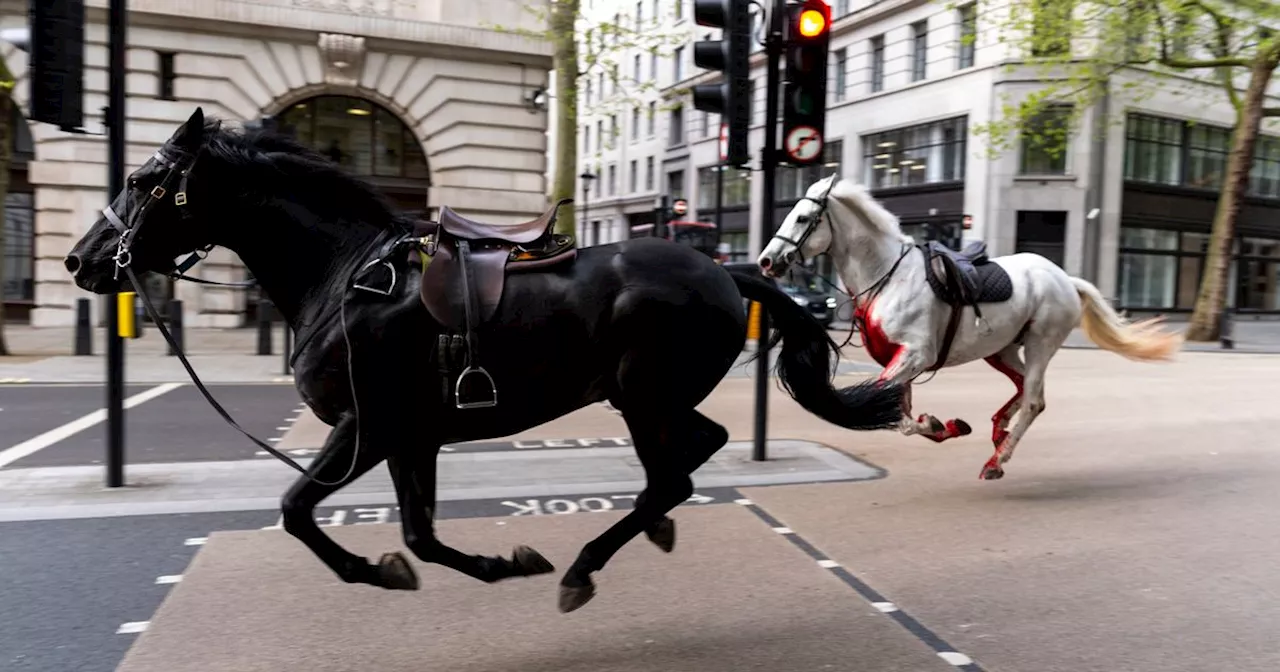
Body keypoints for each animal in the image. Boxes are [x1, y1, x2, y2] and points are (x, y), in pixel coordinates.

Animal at [64, 108, 906, 611]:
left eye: (142, 180)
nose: (81, 260)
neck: (344, 276)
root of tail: (726, 272)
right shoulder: (411, 438)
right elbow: (419, 536)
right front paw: (493, 563)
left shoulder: (366, 428)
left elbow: (298, 509)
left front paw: (375, 570)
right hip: (651, 398)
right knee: (695, 454)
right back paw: (647, 530)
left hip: (641, 397)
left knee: (675, 472)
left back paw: (585, 566)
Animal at [752, 172, 1182, 476]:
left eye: (803, 217)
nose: (766, 261)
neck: (889, 277)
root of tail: (1064, 277)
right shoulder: (900, 360)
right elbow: (900, 415)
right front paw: (943, 425)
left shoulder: (915, 354)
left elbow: (890, 411)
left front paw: (939, 424)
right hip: (1002, 349)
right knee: (1025, 389)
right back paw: (998, 430)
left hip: (1041, 343)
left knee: (1034, 400)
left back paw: (997, 460)